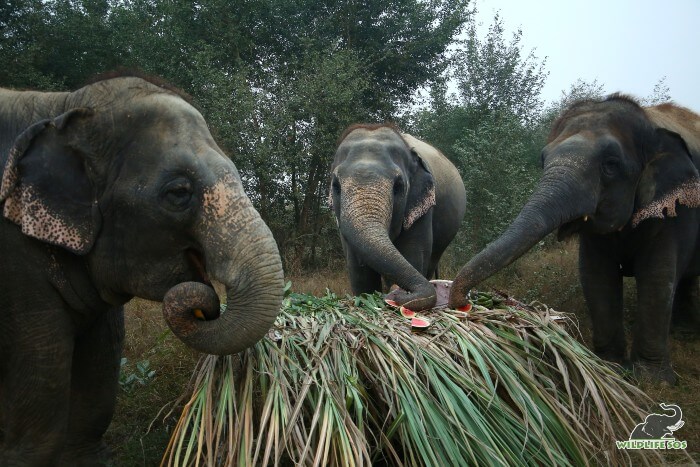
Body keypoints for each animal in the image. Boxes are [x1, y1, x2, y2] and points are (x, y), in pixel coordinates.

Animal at [0, 73, 284, 464]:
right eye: (178, 192)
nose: (209, 302)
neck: (62, 105)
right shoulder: (15, 263)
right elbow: (42, 380)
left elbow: (102, 360)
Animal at [330, 124, 468, 310]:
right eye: (336, 186)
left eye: (398, 186)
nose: (400, 295)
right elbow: (359, 272)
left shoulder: (421, 210)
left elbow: (413, 258)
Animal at [448, 94, 700, 384]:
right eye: (543, 159)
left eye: (611, 165)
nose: (462, 303)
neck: (647, 121)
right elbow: (595, 275)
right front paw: (610, 366)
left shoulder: (676, 210)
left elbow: (657, 275)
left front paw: (651, 380)